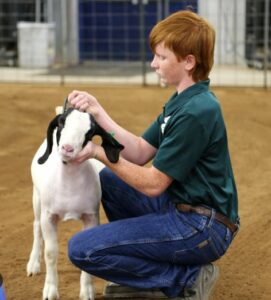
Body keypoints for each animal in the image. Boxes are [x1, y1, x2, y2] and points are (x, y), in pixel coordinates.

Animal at [26, 108, 124, 300]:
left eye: (90, 131)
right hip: (37, 199)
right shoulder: (48, 217)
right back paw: (33, 265)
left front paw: (87, 291)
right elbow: (50, 253)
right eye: (62, 123)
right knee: (36, 227)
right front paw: (50, 291)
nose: (67, 148)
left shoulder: (91, 217)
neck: (69, 184)